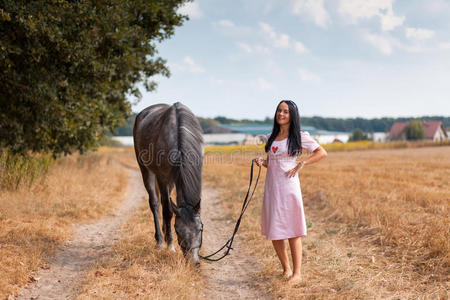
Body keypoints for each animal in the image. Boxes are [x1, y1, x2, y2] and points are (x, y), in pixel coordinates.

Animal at [133, 102, 203, 264]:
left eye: (200, 229)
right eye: (178, 231)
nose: (194, 262)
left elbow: (169, 207)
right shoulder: (162, 178)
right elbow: (167, 211)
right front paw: (170, 246)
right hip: (146, 170)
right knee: (155, 203)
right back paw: (160, 240)